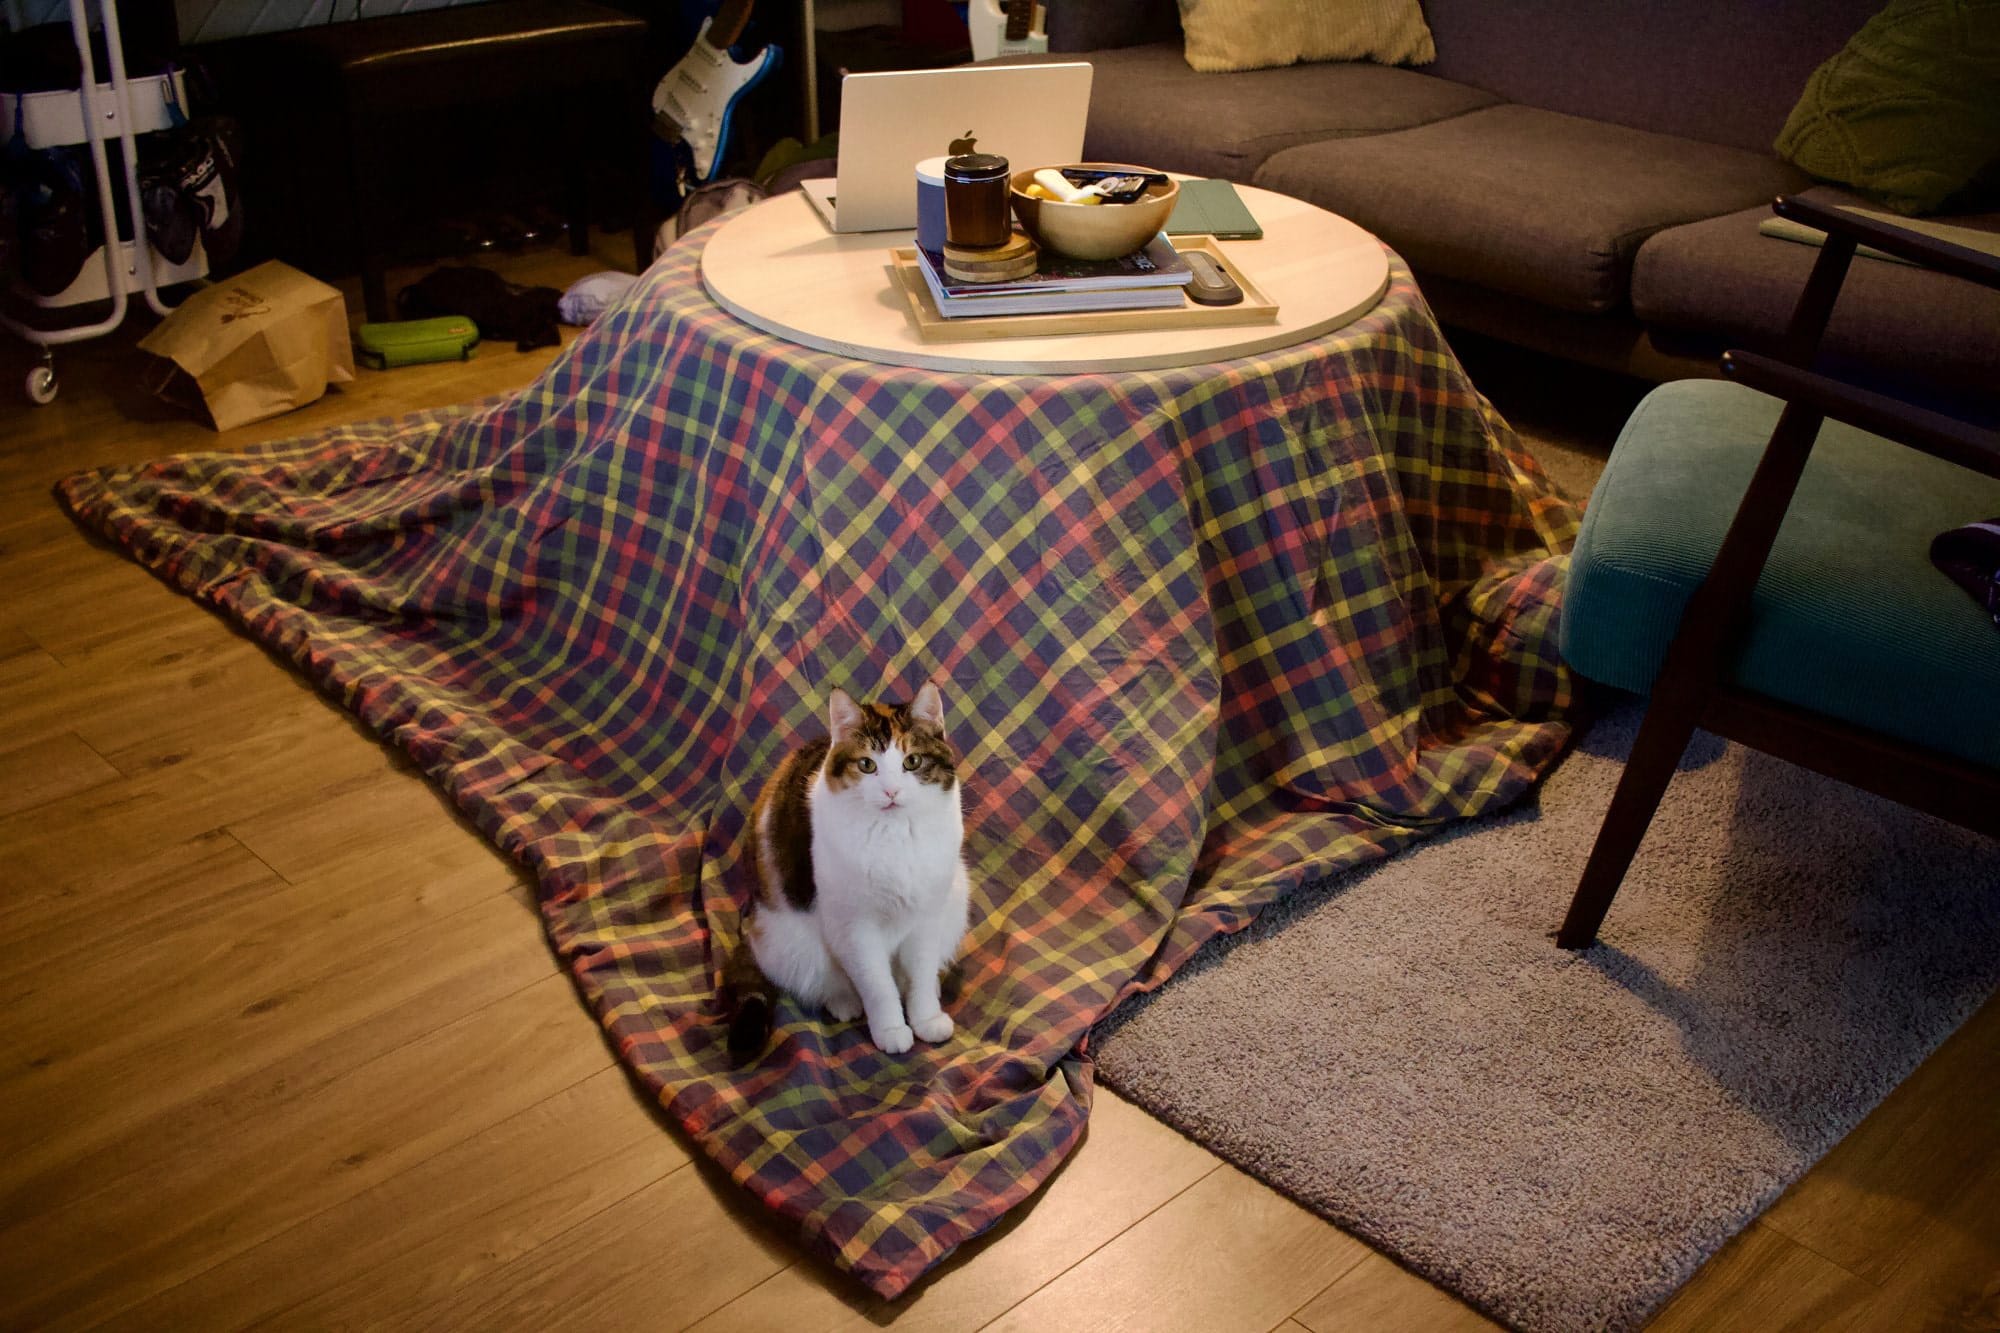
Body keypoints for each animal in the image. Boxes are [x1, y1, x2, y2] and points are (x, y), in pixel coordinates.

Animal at [728, 680, 976, 1064]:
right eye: (866, 765)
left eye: (912, 761)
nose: (891, 791)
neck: (895, 835)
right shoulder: (854, 929)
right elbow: (877, 985)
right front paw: (891, 1029)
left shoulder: (927, 917)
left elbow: (920, 973)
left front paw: (926, 1017)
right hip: (786, 940)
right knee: (823, 979)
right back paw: (844, 1001)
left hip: (957, 897)